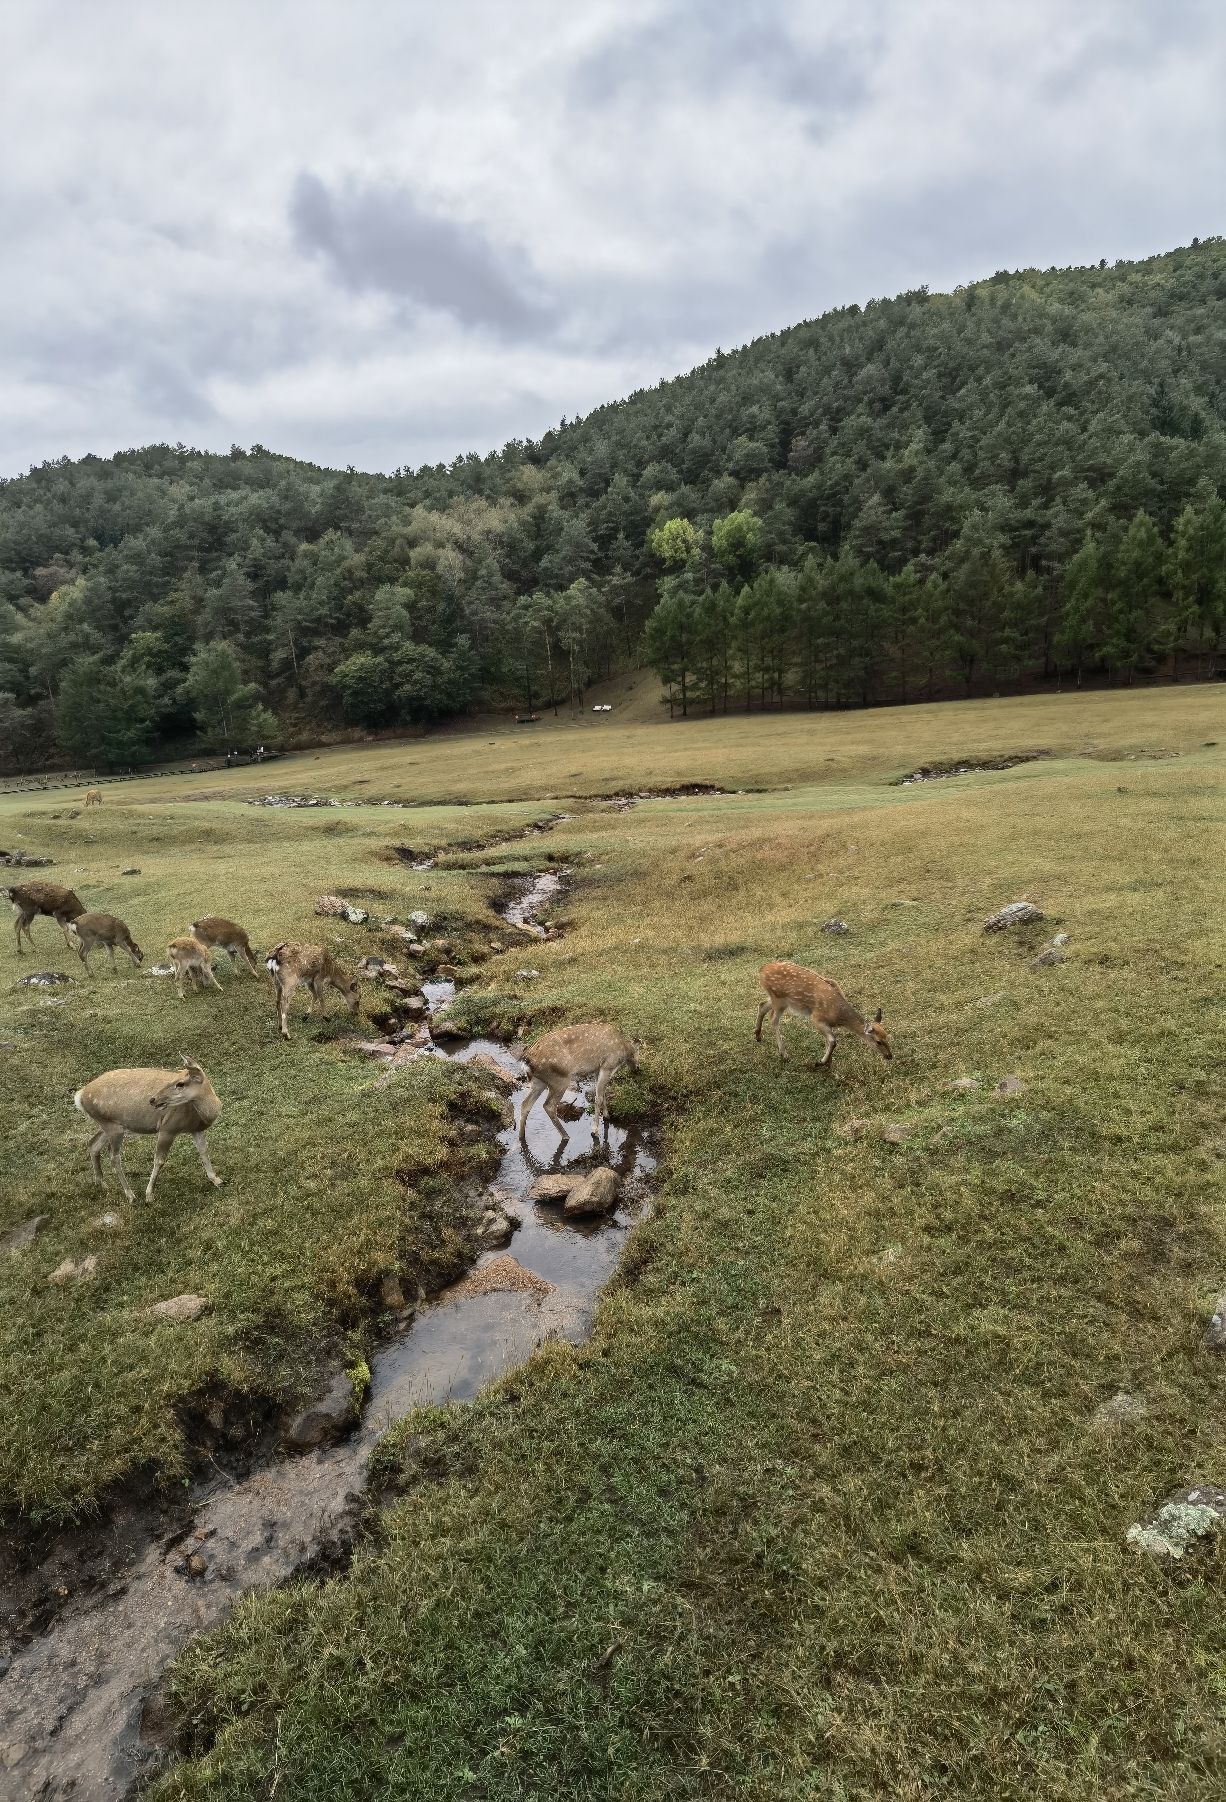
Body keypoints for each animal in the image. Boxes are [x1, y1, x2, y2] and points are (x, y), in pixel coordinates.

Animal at [73, 1056, 223, 1202]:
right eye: (175, 1078)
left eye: (180, 1083)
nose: (153, 1099)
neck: (204, 1116)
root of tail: (80, 1096)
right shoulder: (168, 1128)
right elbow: (159, 1160)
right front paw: (149, 1195)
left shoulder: (196, 1129)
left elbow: (204, 1151)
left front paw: (217, 1180)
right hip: (113, 1127)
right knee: (114, 1157)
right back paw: (130, 1195)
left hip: (108, 1125)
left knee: (93, 1144)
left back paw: (101, 1184)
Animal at [755, 961, 892, 1068]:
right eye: (878, 1042)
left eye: (887, 1037)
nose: (889, 1056)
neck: (838, 1016)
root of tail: (761, 970)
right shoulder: (816, 1018)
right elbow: (832, 1041)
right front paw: (821, 1062)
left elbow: (828, 1040)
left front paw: (828, 1062)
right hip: (779, 999)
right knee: (773, 1019)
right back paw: (784, 1054)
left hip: (776, 999)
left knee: (762, 1005)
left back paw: (758, 1035)